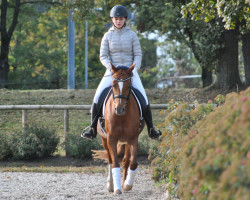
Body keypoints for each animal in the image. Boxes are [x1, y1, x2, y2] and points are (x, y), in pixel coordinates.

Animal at [93, 63, 145, 195]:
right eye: (113, 85)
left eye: (129, 86)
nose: (119, 109)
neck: (122, 116)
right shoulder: (111, 138)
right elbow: (115, 162)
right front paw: (116, 189)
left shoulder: (133, 138)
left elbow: (133, 163)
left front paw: (127, 185)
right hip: (104, 139)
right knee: (110, 159)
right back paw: (111, 185)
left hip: (125, 141)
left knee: (126, 160)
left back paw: (123, 183)